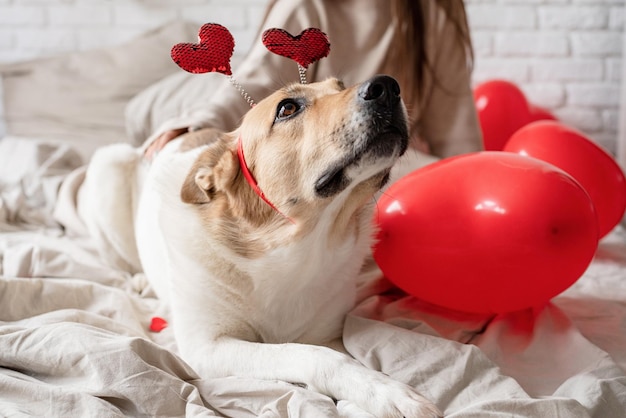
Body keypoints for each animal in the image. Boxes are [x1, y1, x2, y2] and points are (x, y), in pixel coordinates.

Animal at [79, 76, 438, 418]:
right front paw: (391, 395)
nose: (388, 86)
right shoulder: (208, 346)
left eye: (340, 86)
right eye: (287, 108)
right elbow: (315, 356)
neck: (297, 248)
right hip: (108, 167)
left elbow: (340, 357)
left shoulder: (327, 333)